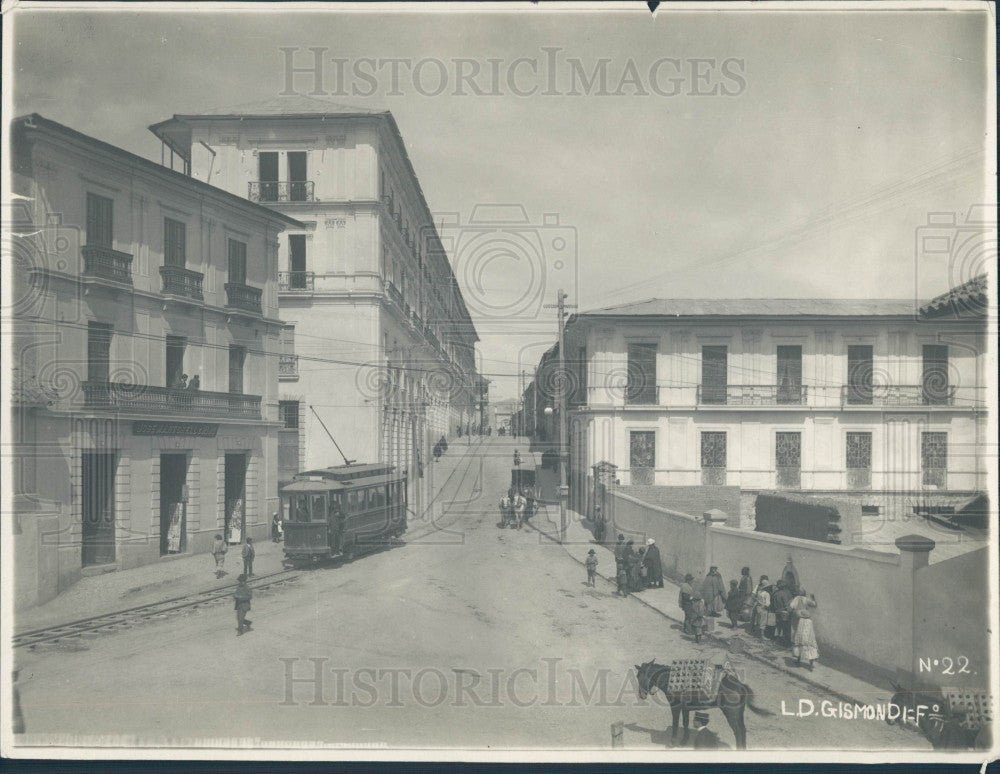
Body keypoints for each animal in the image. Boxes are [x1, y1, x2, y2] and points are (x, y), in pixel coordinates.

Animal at [640, 660, 772, 752]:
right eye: (638, 676)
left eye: (643, 676)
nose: (642, 695)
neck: (670, 679)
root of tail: (741, 685)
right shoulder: (686, 708)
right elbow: (685, 723)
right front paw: (684, 741)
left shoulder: (675, 707)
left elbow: (676, 724)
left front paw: (672, 743)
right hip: (738, 714)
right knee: (742, 730)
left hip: (731, 713)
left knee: (738, 731)